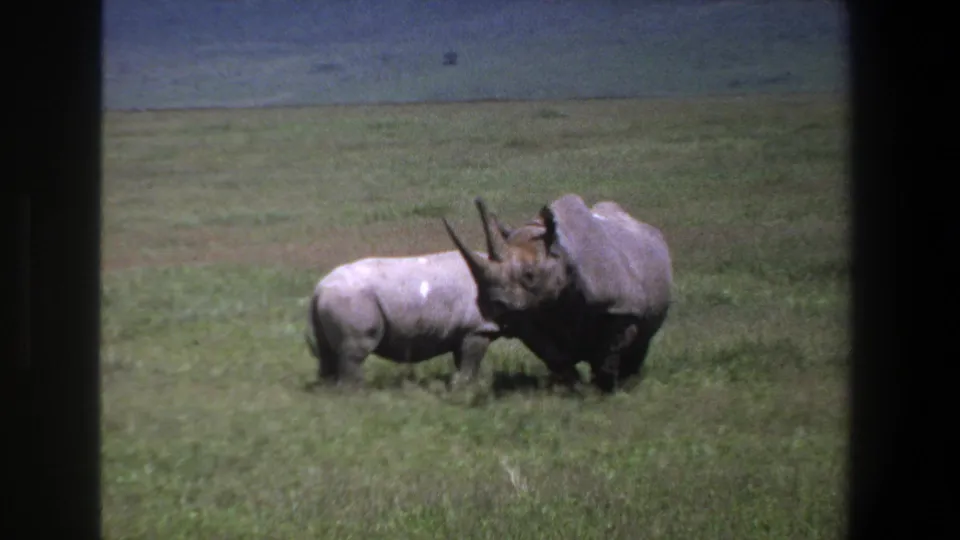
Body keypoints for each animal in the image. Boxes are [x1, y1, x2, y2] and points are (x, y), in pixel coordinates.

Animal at [305, 250, 504, 387]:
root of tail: (319, 289)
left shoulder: (467, 331)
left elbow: (463, 361)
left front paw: (467, 385)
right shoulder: (478, 328)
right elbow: (470, 362)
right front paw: (467, 387)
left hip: (336, 299)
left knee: (326, 350)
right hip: (351, 299)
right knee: (353, 352)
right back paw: (357, 393)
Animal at [441, 194, 673, 393]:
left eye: (530, 275)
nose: (490, 305)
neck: (560, 255)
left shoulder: (621, 308)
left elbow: (610, 353)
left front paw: (605, 390)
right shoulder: (528, 316)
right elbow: (555, 356)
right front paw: (574, 388)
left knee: (642, 340)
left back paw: (629, 381)